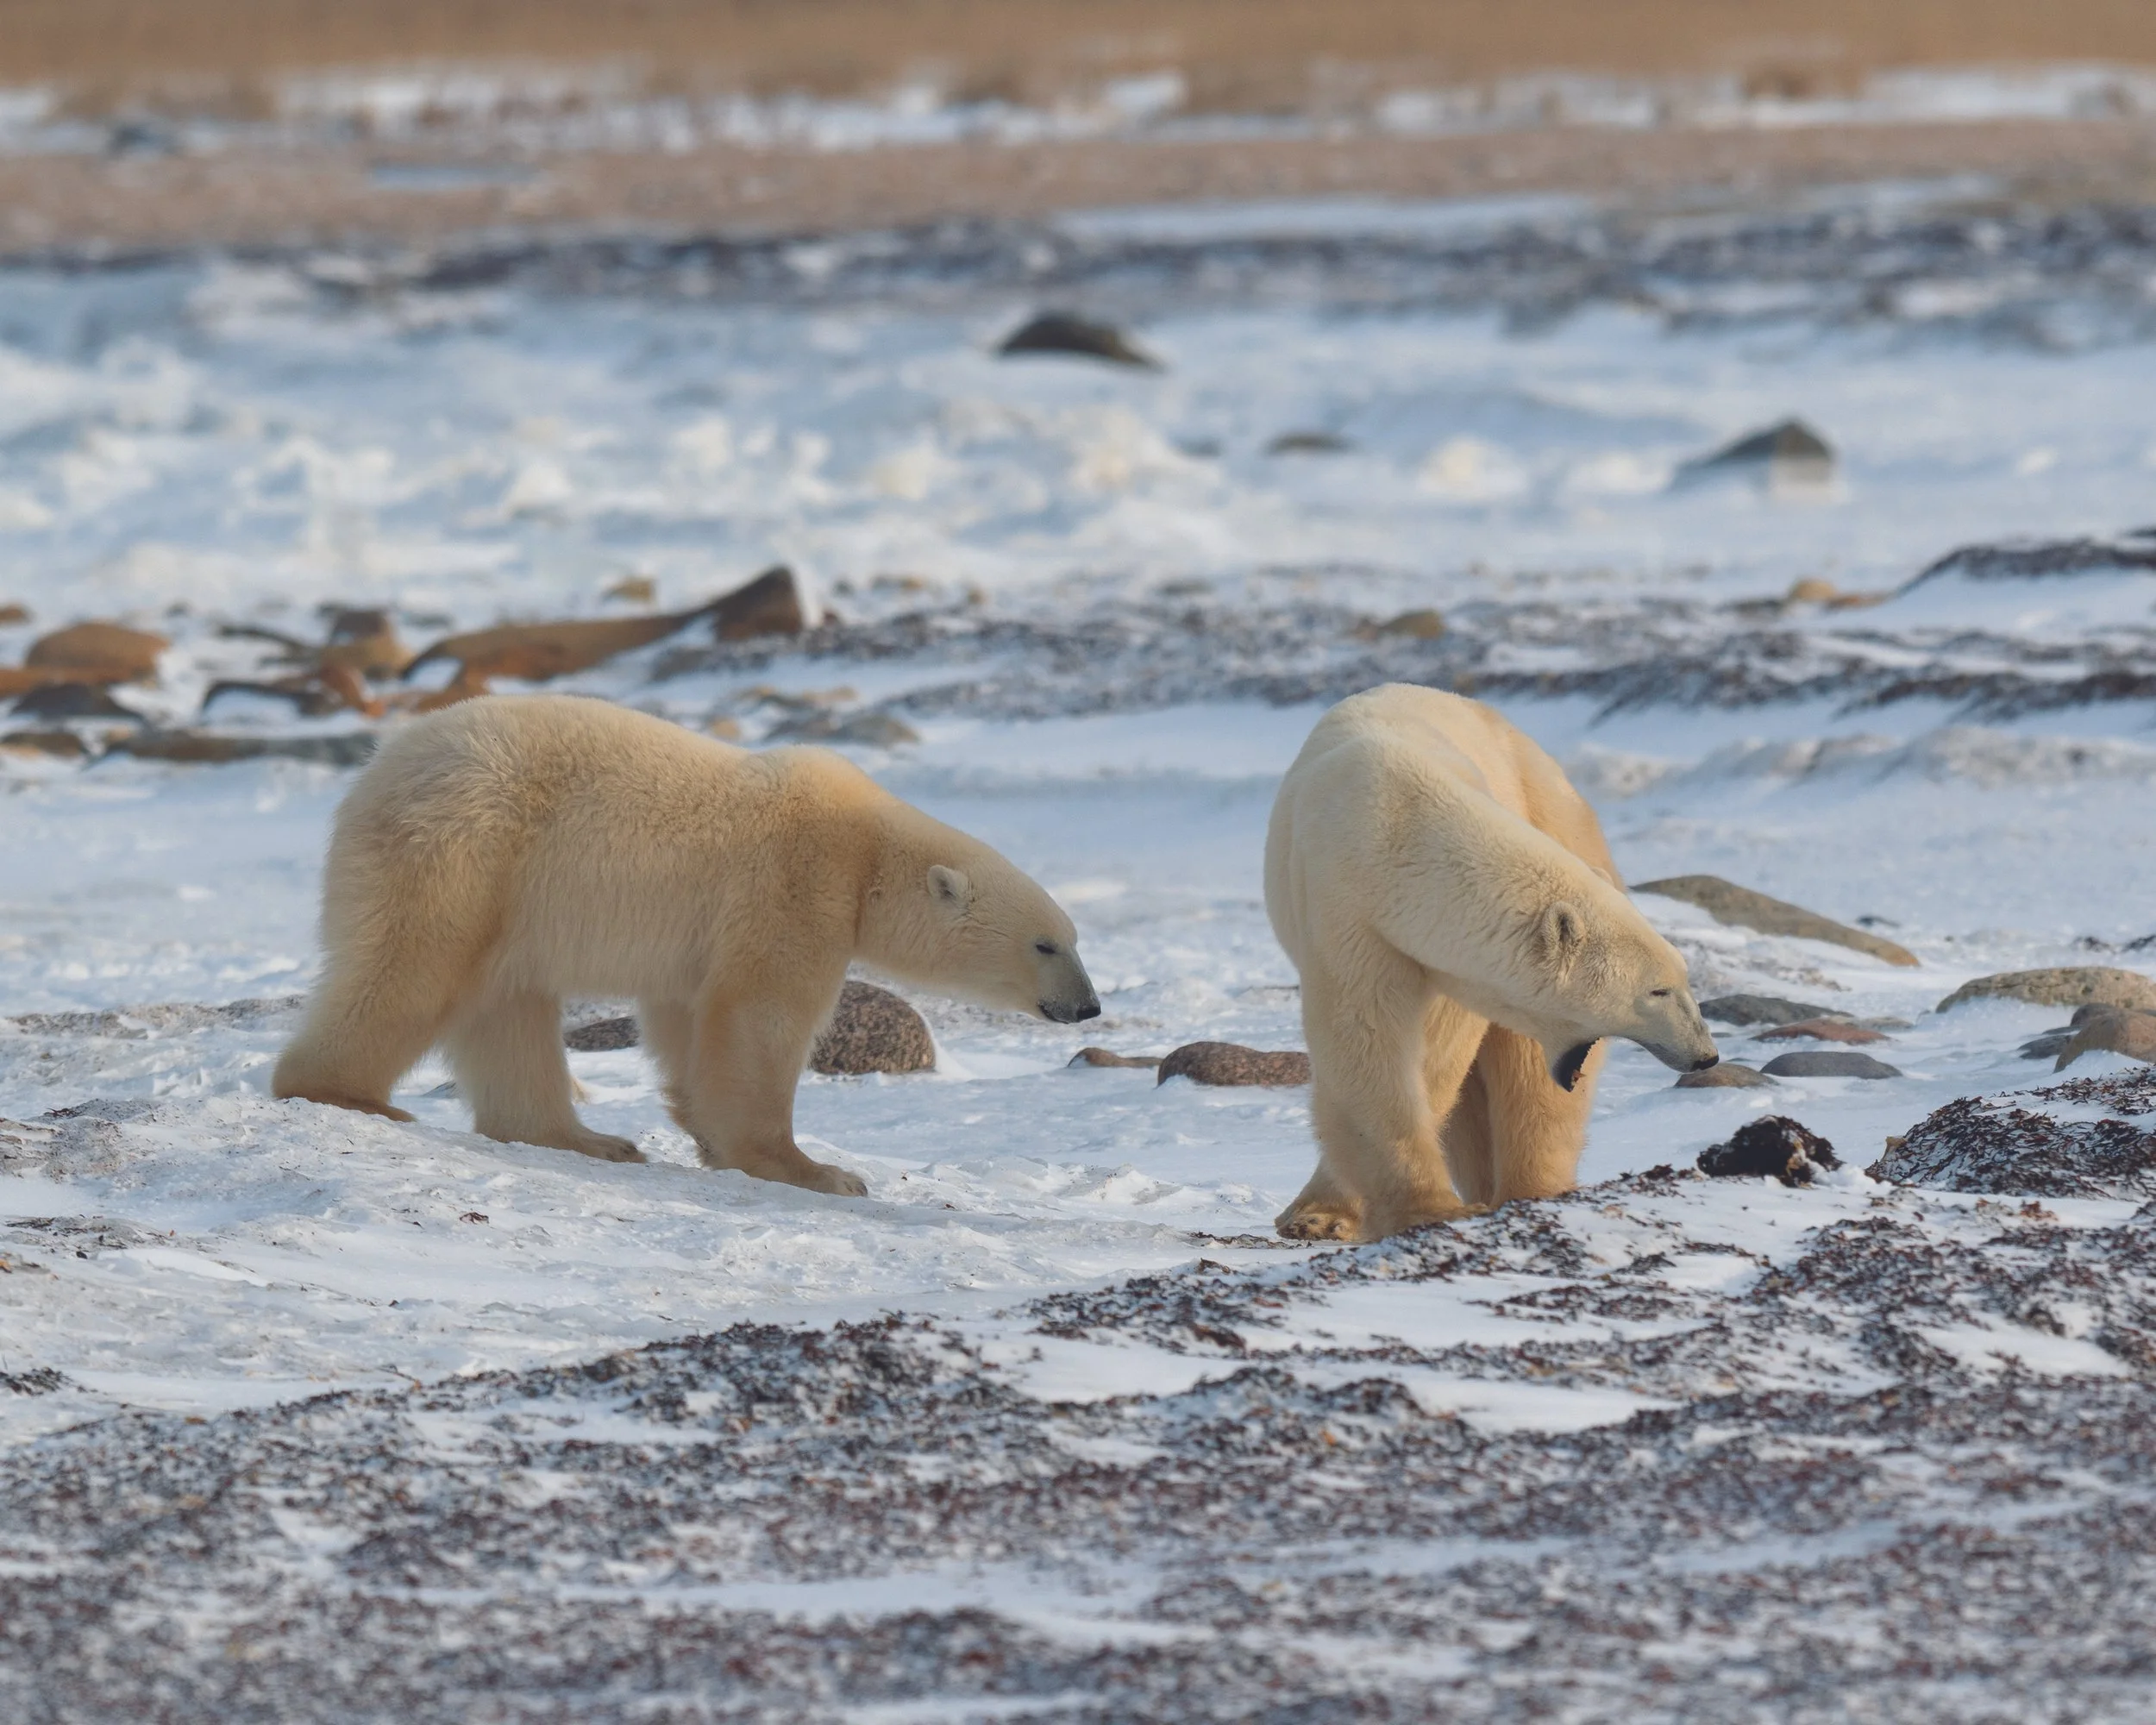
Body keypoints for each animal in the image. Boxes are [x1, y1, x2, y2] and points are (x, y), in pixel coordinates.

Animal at [272, 696, 1100, 1195]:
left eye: (1072, 938)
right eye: (1045, 945)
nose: (1088, 1006)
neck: (867, 848)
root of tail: (374, 776)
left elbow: (687, 1018)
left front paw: (710, 1137)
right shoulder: (796, 886)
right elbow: (762, 1017)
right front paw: (817, 1171)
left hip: (504, 895)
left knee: (508, 1009)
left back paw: (588, 1139)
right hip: (468, 853)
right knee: (414, 971)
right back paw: (344, 1091)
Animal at [1264, 685, 1718, 1241]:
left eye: (1681, 980)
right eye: (1658, 990)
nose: (1706, 1056)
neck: (1400, 821)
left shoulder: (1447, 965)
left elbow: (1437, 1053)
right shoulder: (1347, 913)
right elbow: (1366, 1038)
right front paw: (1407, 1208)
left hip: (1555, 815)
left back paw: (1530, 1189)